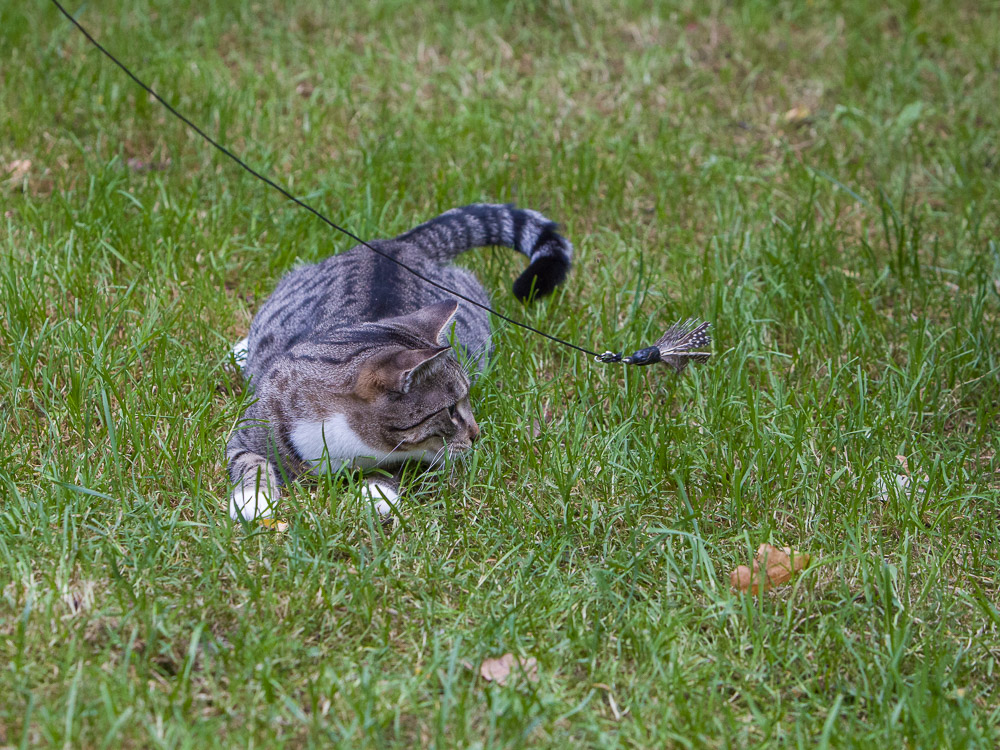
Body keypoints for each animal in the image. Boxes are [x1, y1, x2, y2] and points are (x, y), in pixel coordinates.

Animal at [227, 204, 572, 524]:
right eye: (451, 409)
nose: (476, 433)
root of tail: (394, 247)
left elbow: (399, 469)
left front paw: (374, 493)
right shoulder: (247, 431)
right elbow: (249, 460)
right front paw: (253, 501)